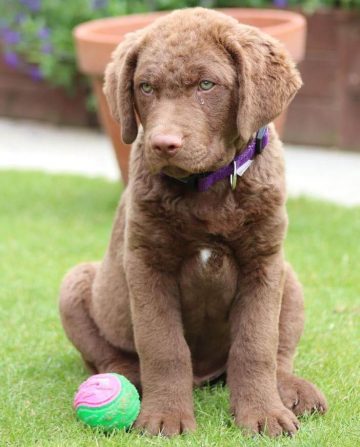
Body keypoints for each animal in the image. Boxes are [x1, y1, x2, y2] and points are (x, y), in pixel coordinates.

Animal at [58, 8, 326, 440]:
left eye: (206, 84)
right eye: (145, 87)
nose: (163, 144)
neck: (207, 188)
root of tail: (205, 377)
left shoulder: (264, 263)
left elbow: (257, 345)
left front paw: (263, 414)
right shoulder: (147, 263)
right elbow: (163, 346)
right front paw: (164, 417)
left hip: (290, 277)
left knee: (280, 353)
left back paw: (292, 389)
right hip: (75, 284)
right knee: (107, 355)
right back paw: (126, 378)